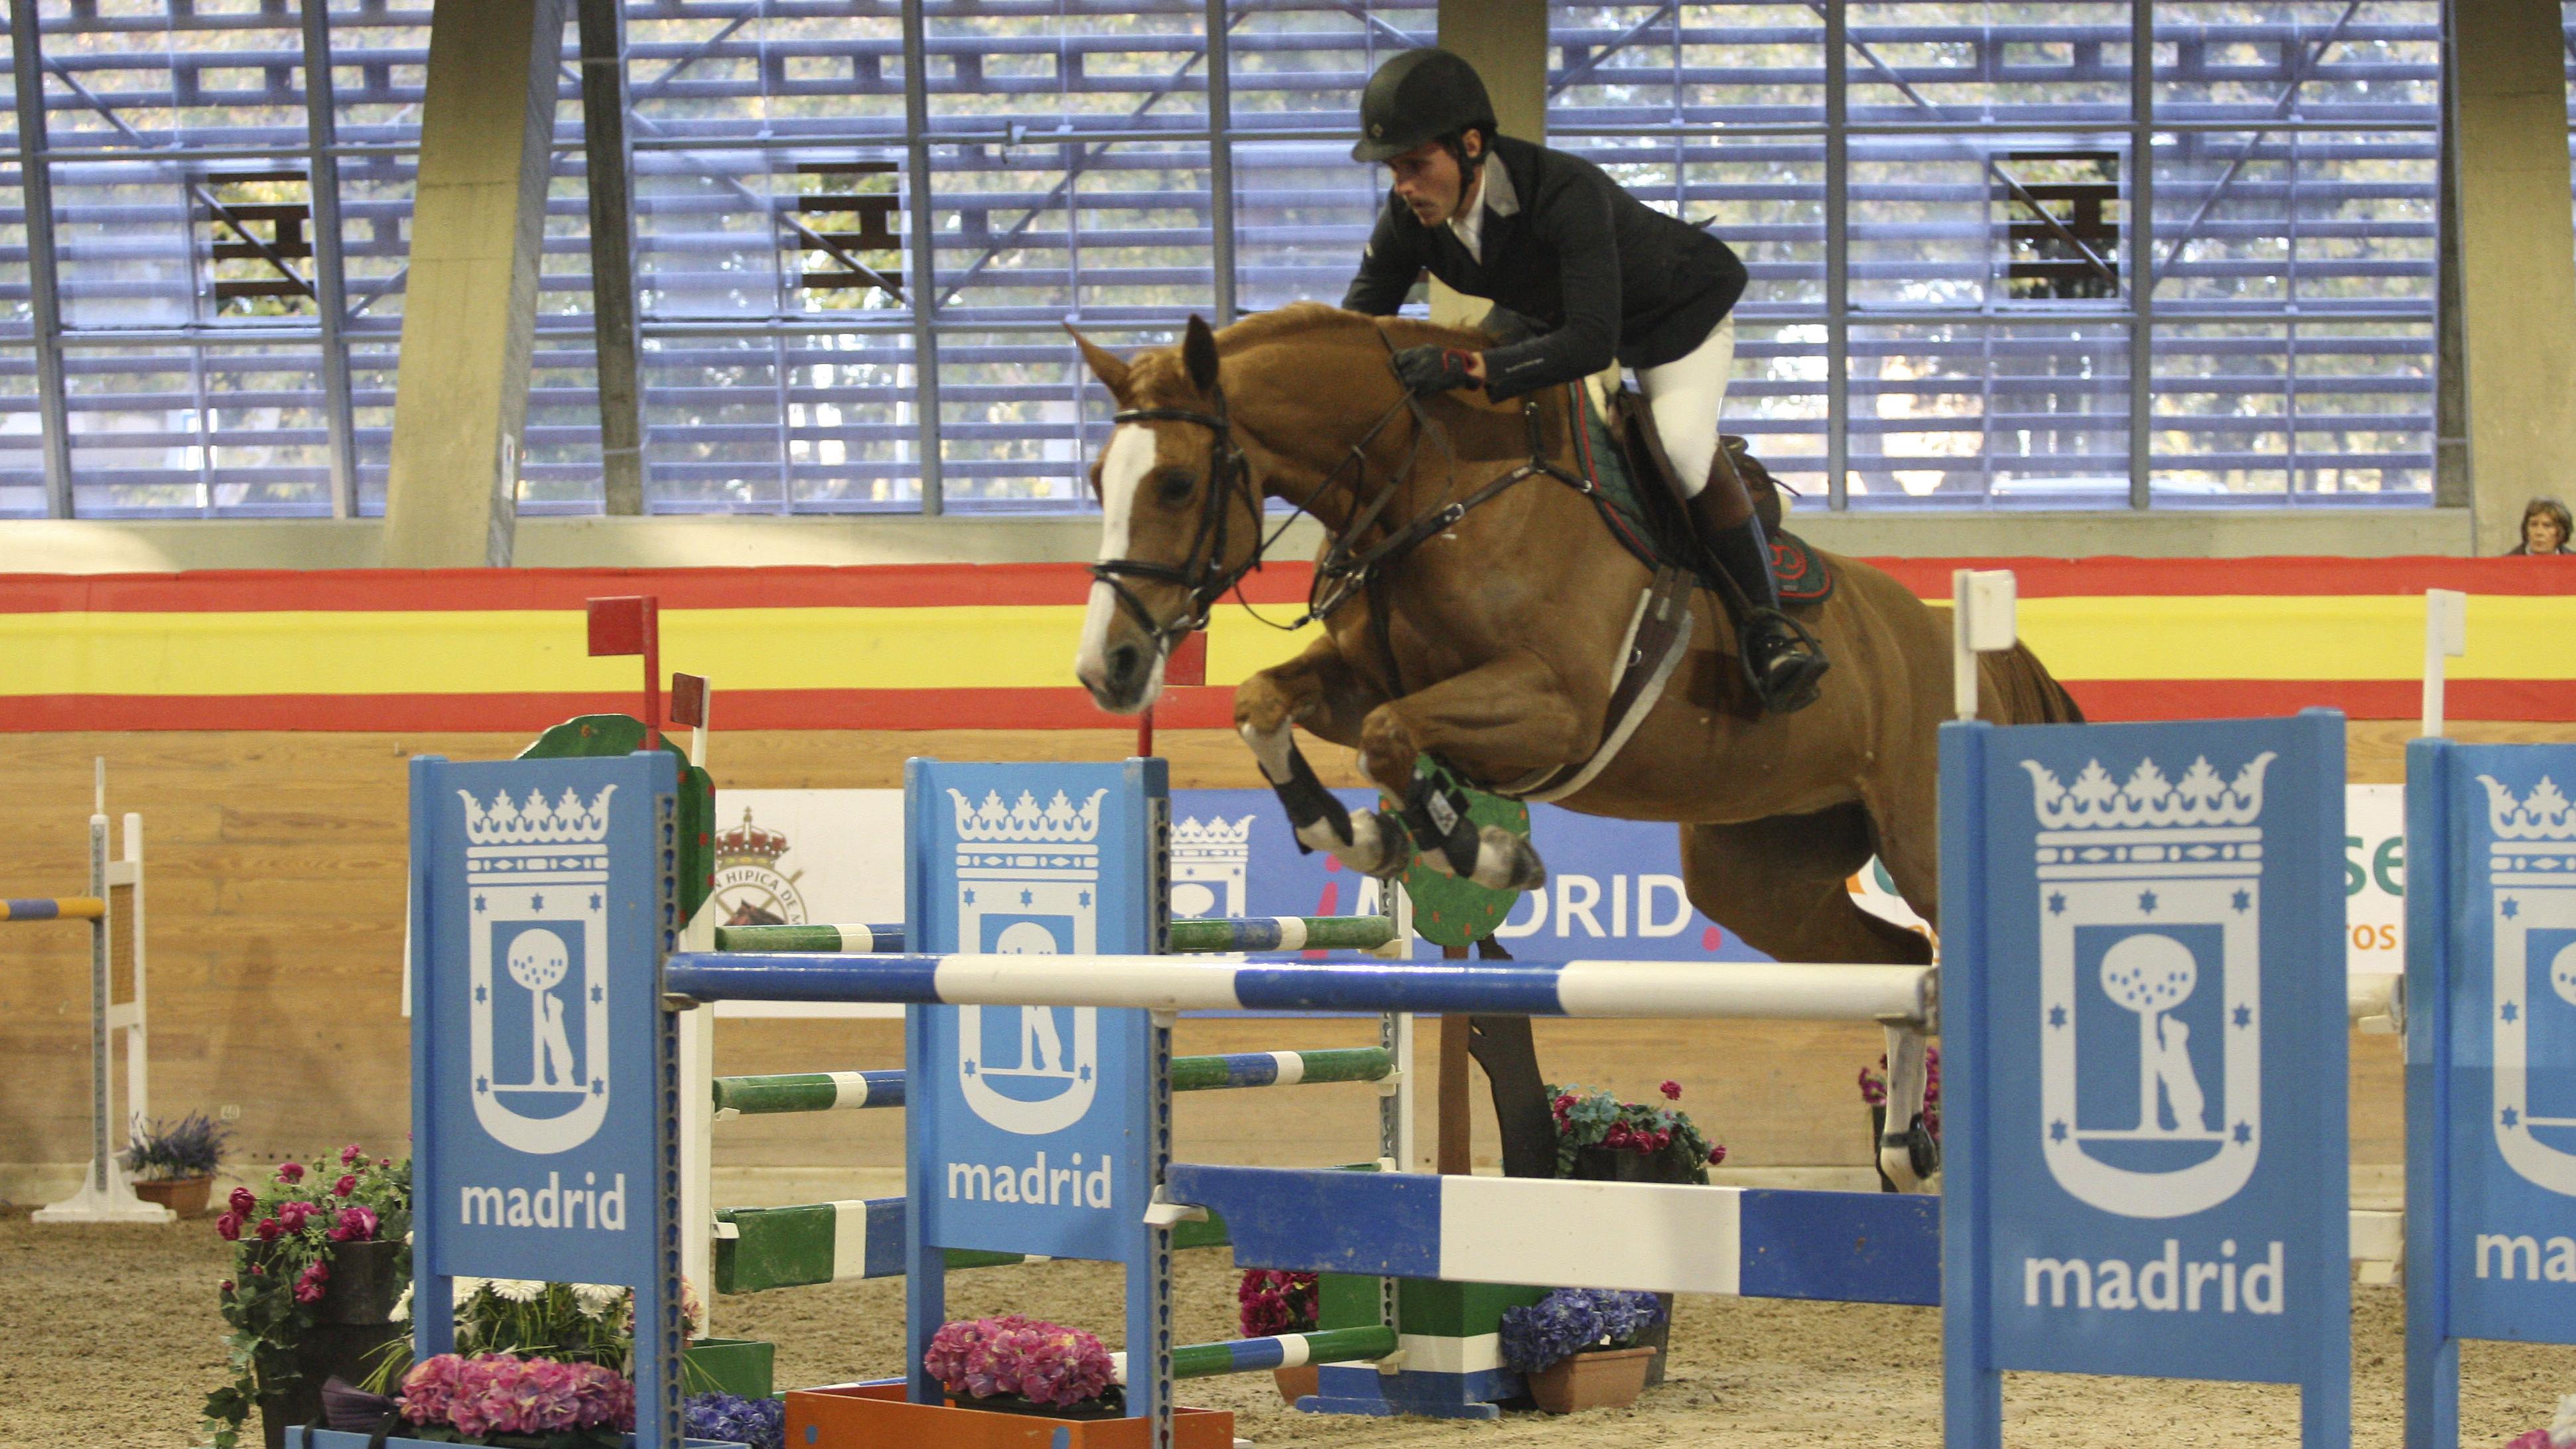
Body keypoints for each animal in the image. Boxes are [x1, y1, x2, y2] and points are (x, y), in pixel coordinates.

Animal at [1056, 301, 2081, 969]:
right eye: (1100, 478)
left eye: (1177, 483)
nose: (1108, 668)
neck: (1435, 486)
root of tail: (1959, 648)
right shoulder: (1359, 681)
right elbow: (1267, 701)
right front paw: (1361, 836)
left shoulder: (1555, 708)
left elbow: (1393, 736)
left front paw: (1481, 852)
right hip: (1761, 875)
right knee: (1888, 964)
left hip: (1920, 845)